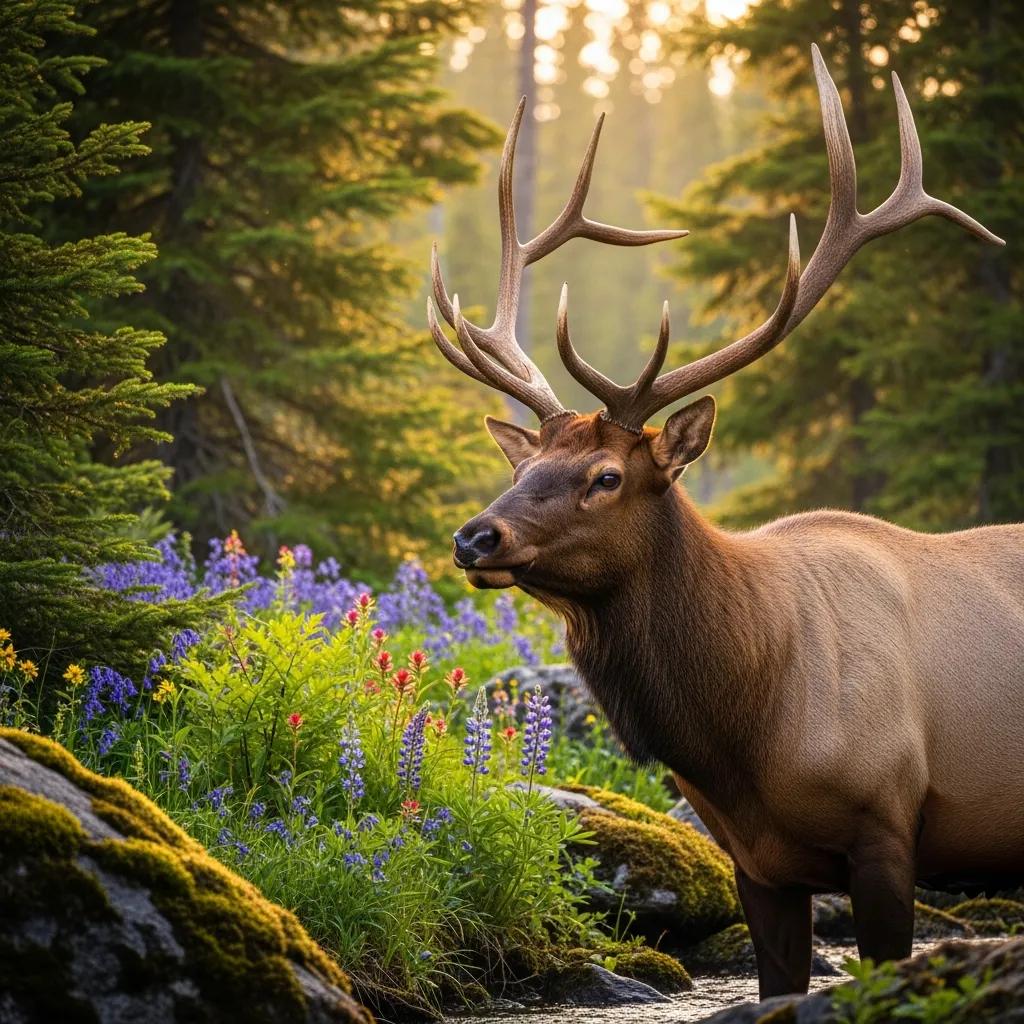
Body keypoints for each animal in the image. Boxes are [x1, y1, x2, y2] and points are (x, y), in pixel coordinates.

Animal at [427, 45, 1022, 999]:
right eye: (521, 468)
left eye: (605, 476)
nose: (475, 536)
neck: (749, 738)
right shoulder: (755, 863)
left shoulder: (888, 826)